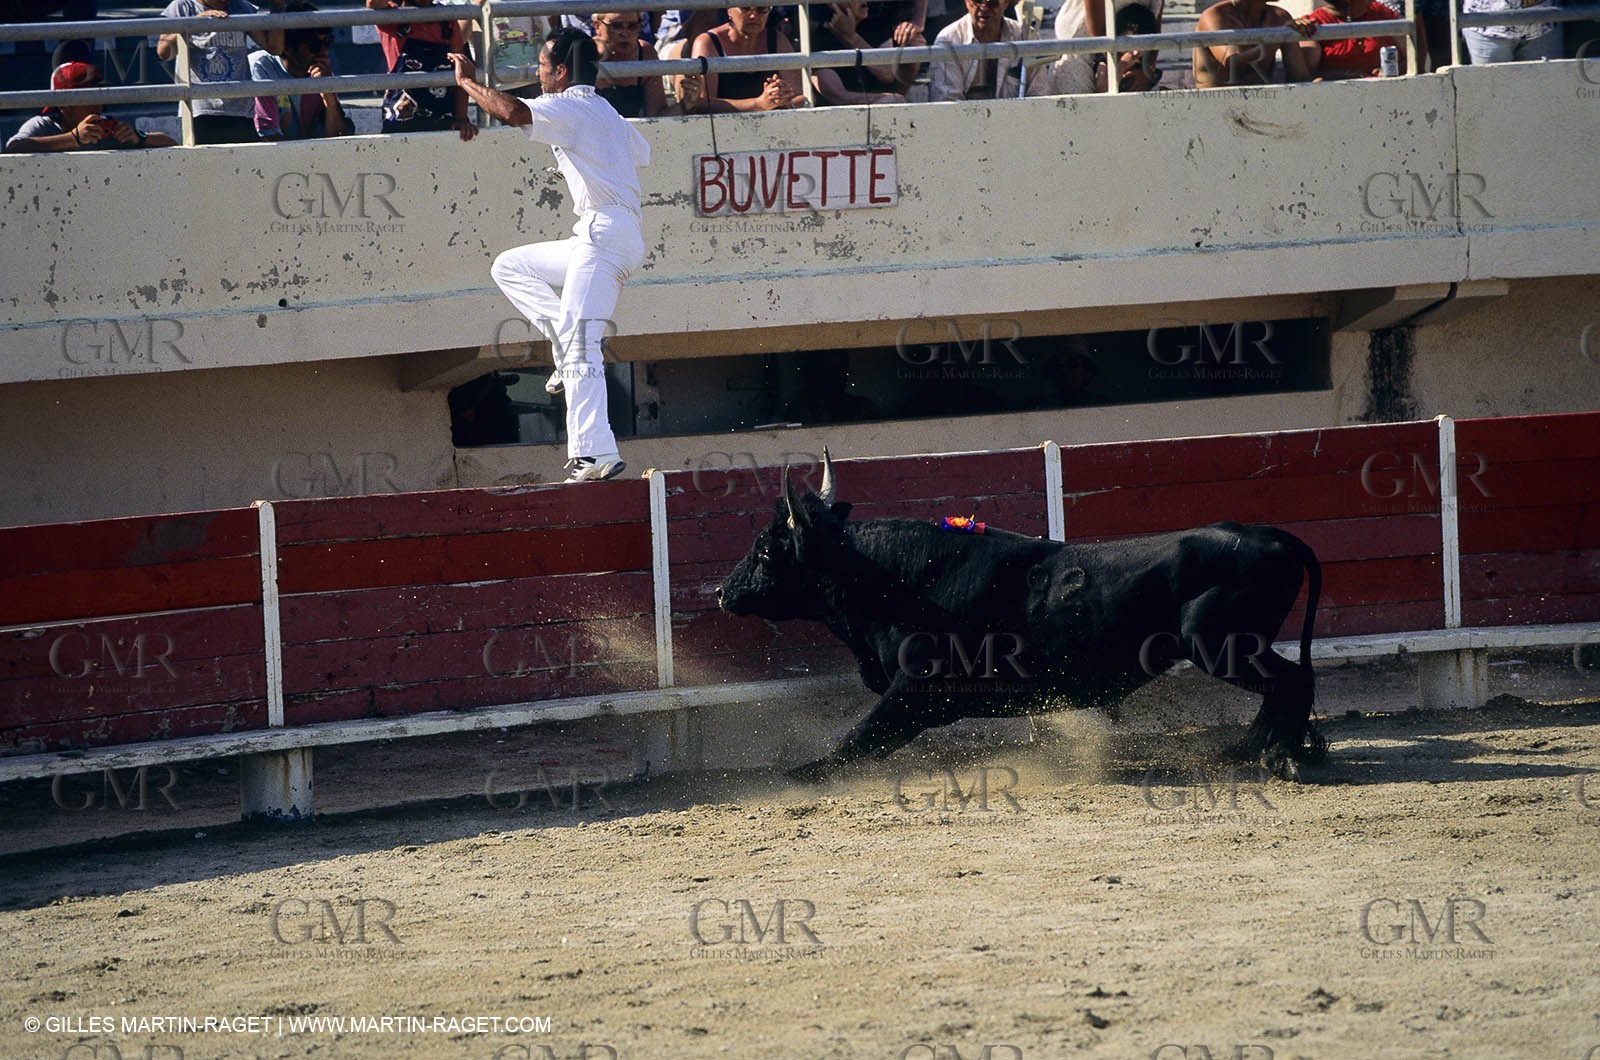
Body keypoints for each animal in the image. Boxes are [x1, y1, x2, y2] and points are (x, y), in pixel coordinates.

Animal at [715, 450, 1327, 782]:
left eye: (767, 551)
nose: (722, 591)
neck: (894, 579)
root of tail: (1269, 536)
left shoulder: (916, 690)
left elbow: (860, 737)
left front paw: (800, 777)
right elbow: (868, 737)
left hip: (1221, 645)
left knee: (1292, 682)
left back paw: (1283, 759)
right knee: (1286, 686)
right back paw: (1251, 751)